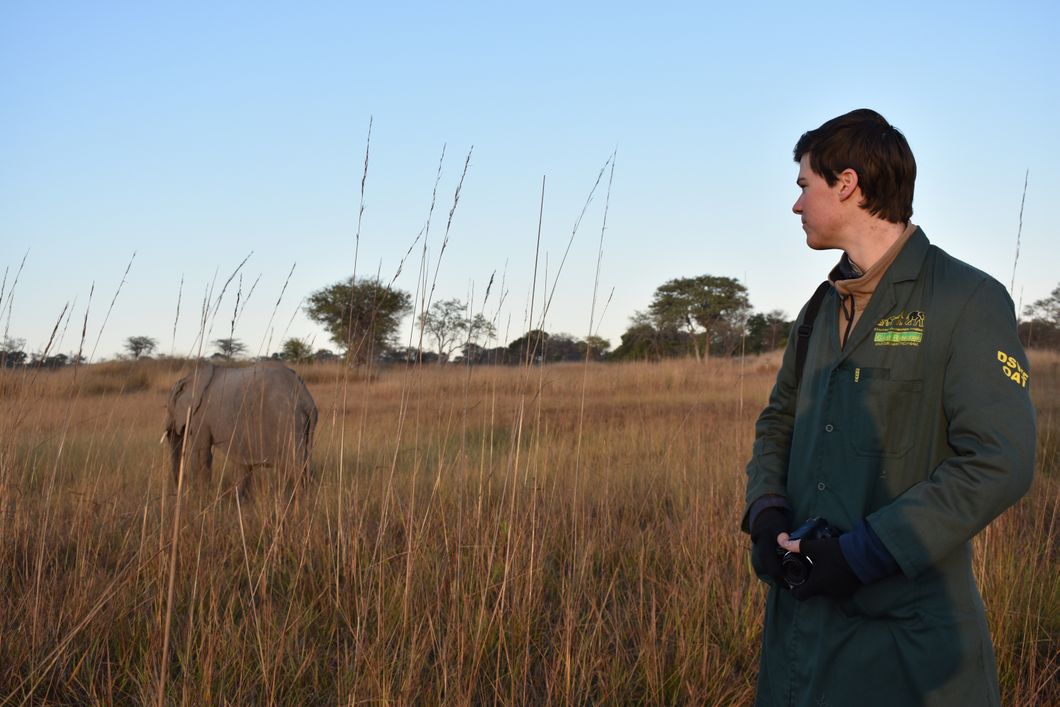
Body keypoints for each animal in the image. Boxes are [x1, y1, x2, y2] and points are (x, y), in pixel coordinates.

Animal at [164, 361, 318, 496]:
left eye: (168, 409)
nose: (180, 491)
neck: (190, 378)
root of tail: (307, 401)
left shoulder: (200, 416)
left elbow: (201, 455)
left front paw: (200, 496)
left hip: (288, 424)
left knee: (294, 470)